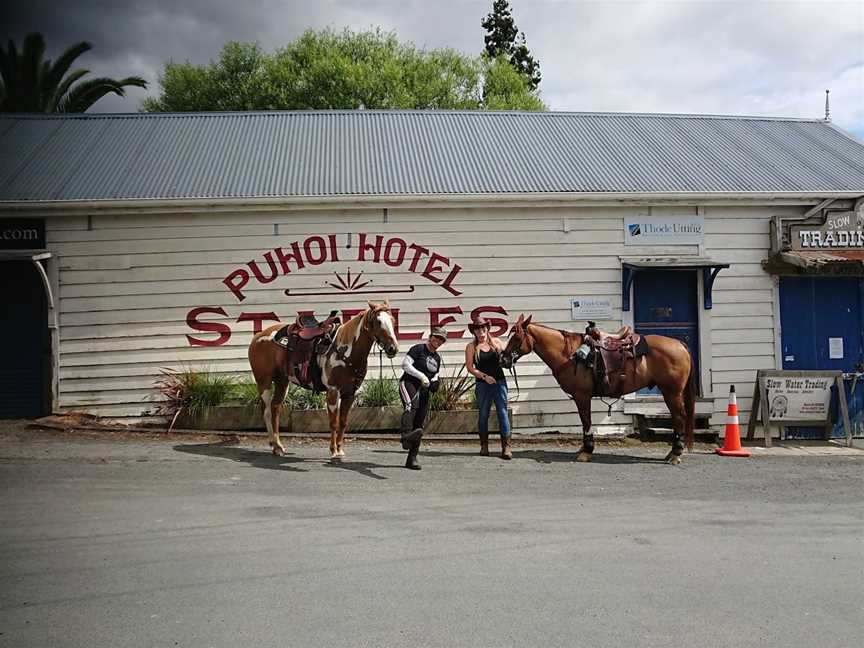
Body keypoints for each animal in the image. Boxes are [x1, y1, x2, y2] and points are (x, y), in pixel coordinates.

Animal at [248, 302, 400, 460]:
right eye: (378, 322)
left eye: (392, 320)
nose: (393, 348)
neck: (345, 352)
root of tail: (258, 336)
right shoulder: (333, 391)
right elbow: (333, 422)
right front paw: (333, 451)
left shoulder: (350, 394)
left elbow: (343, 422)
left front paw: (340, 449)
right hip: (263, 382)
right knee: (266, 411)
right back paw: (274, 444)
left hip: (282, 382)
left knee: (275, 408)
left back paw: (278, 446)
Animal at [500, 316, 696, 464]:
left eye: (516, 338)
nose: (503, 359)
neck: (569, 355)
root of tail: (680, 344)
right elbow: (584, 422)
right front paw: (584, 448)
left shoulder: (582, 396)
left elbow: (586, 421)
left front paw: (586, 451)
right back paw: (671, 453)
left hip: (672, 393)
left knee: (679, 418)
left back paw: (676, 454)